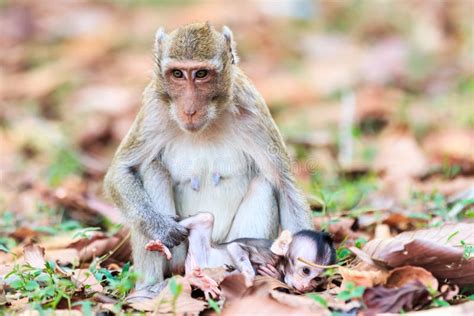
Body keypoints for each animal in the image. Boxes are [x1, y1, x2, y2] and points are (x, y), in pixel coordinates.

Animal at [103, 21, 312, 288]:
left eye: (201, 74)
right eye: (178, 74)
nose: (190, 109)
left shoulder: (252, 110)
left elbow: (284, 185)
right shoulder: (154, 111)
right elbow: (122, 171)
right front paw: (161, 229)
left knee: (264, 184)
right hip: (178, 260)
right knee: (153, 170)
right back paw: (150, 286)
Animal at [146, 212, 336, 296]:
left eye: (317, 279)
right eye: (306, 271)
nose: (306, 287)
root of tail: (191, 266)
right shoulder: (266, 253)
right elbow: (235, 247)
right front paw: (249, 275)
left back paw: (199, 281)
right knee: (207, 217)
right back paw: (162, 244)